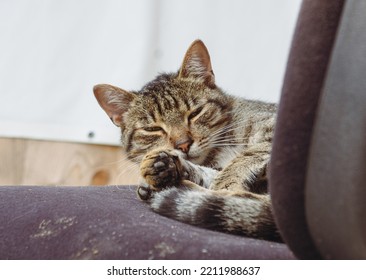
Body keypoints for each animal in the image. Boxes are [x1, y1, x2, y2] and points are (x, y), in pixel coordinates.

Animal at [93, 38, 280, 241]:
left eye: (195, 113)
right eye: (152, 129)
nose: (183, 145)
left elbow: (242, 159)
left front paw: (221, 184)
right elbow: (212, 173)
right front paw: (167, 167)